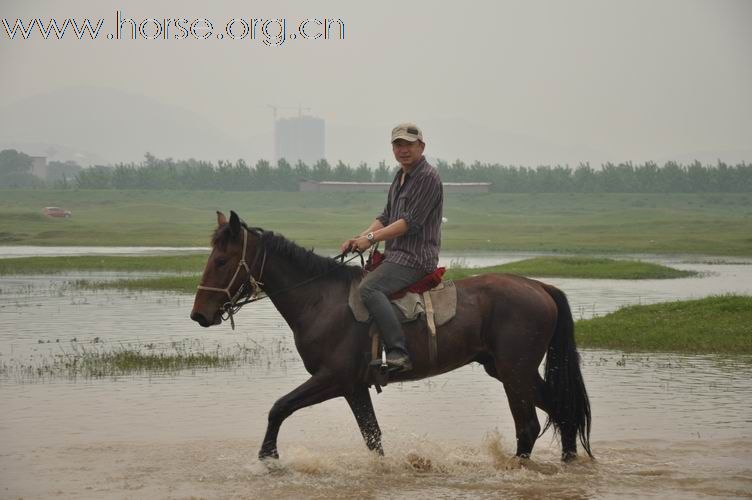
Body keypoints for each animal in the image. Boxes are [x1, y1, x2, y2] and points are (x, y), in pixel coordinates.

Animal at [191, 210, 592, 460]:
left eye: (222, 261)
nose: (199, 314)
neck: (321, 299)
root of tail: (539, 287)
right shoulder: (354, 387)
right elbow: (373, 438)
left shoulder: (332, 379)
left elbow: (279, 408)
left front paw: (268, 457)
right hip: (510, 371)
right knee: (562, 412)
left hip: (515, 372)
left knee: (530, 426)